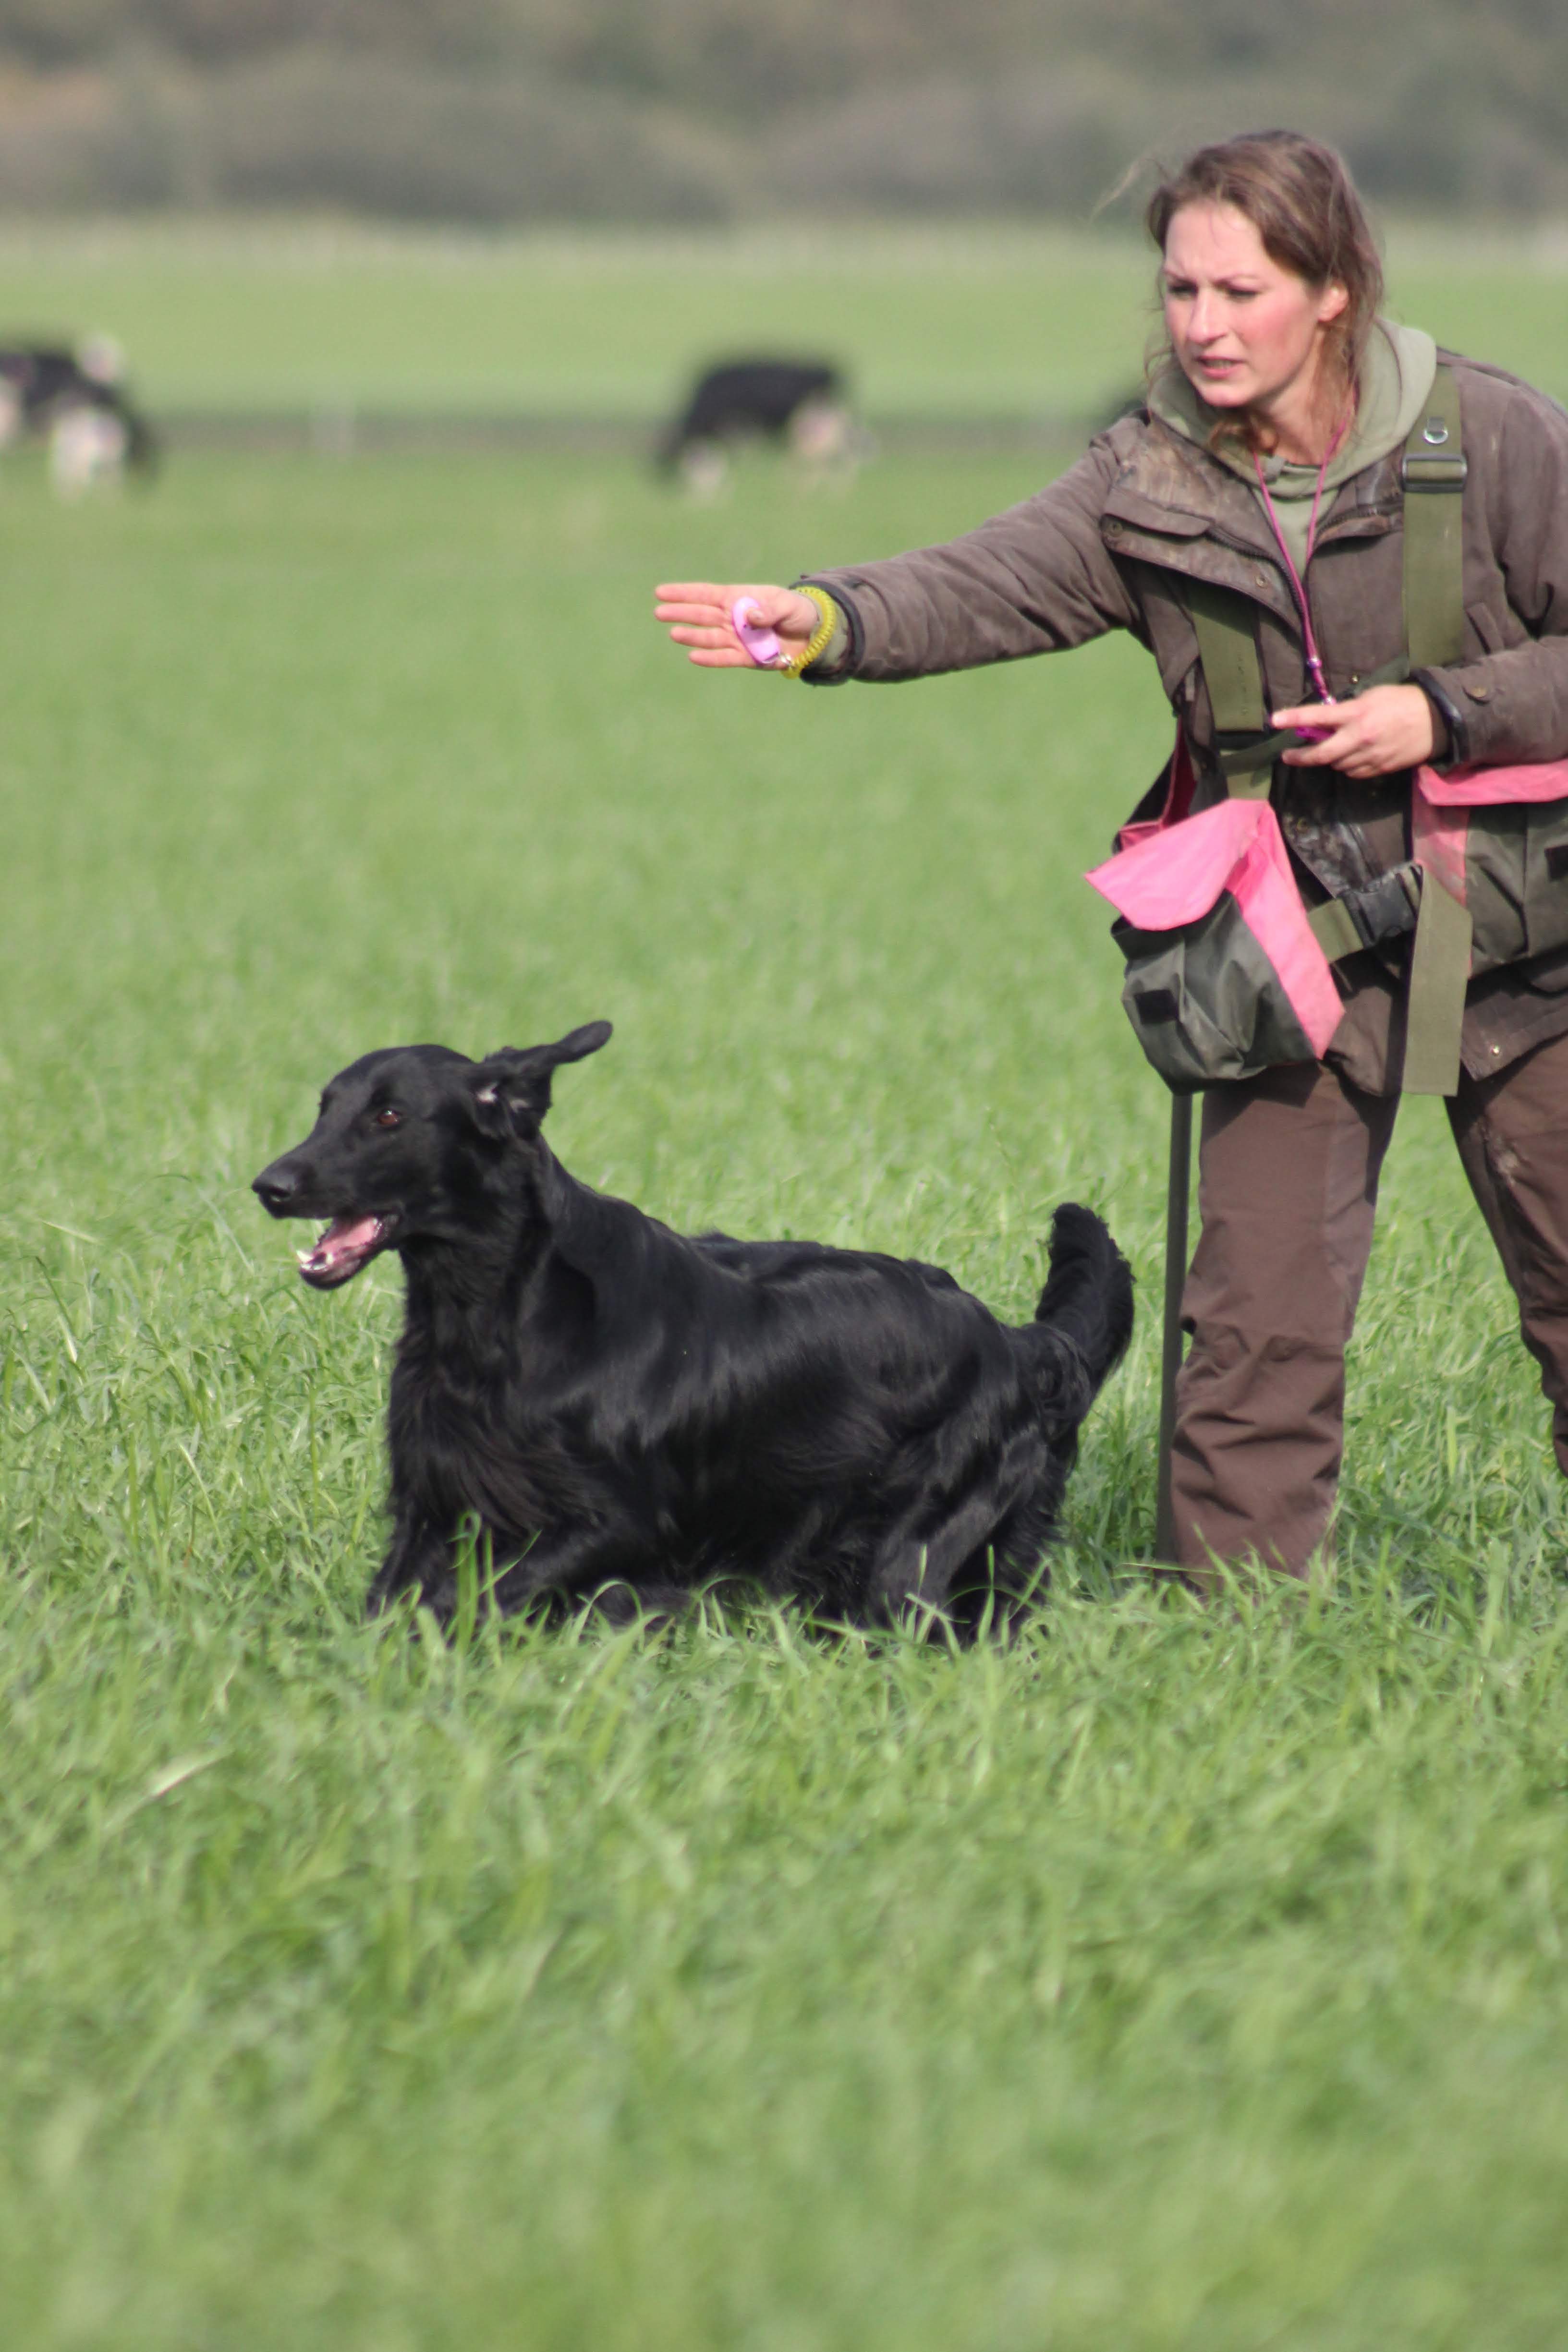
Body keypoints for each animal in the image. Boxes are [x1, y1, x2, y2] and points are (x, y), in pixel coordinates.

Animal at [253, 1024, 1133, 1635]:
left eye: (389, 1114)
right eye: (324, 1108)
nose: (270, 1184)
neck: (497, 1315)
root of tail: (1015, 1342)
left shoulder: (619, 1520)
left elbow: (474, 1600)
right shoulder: (432, 1498)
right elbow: (396, 1604)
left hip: (909, 1555)